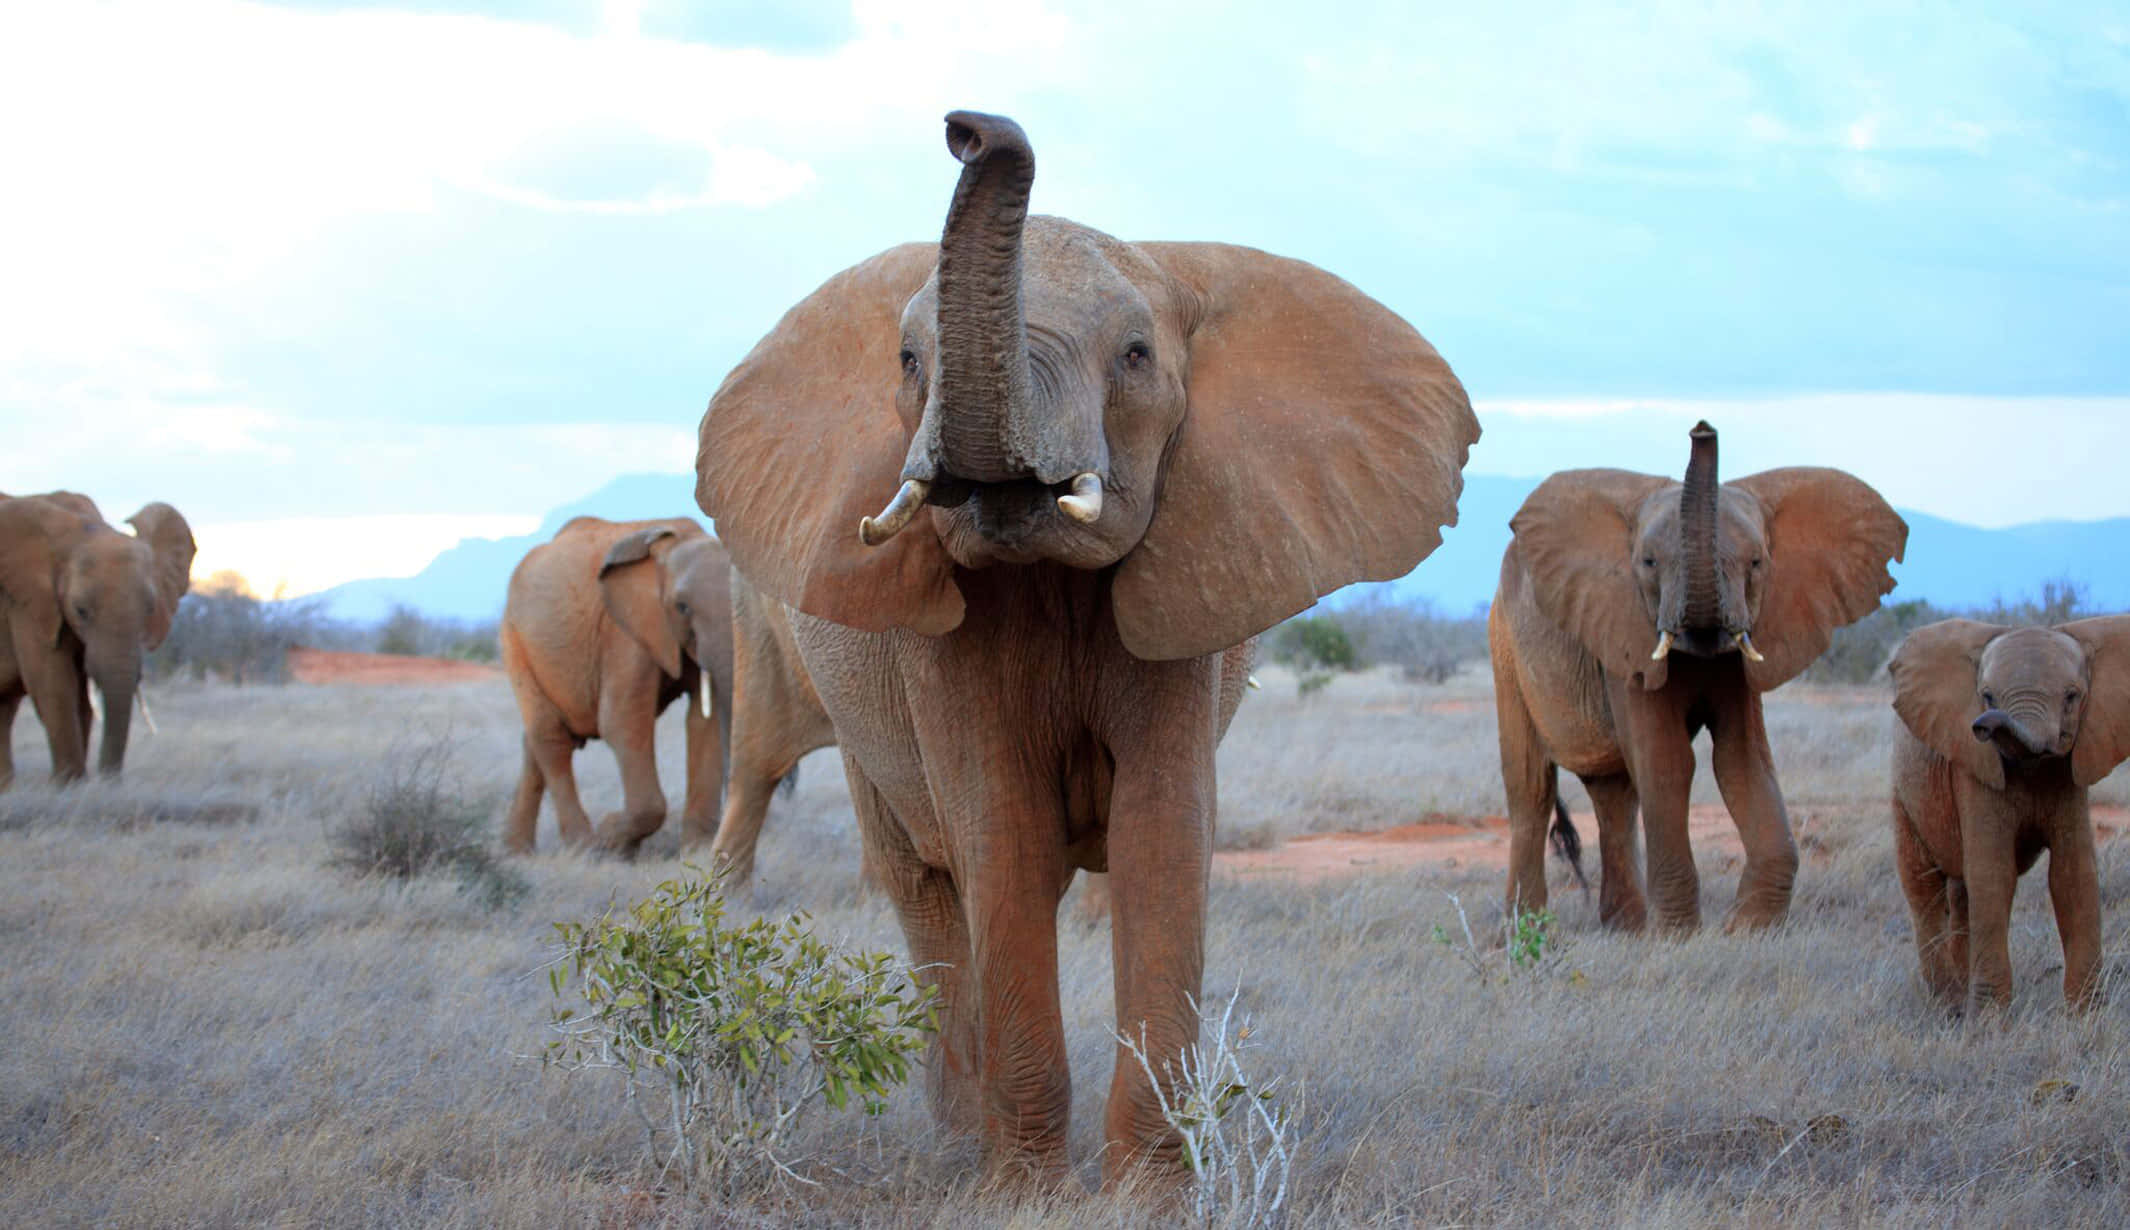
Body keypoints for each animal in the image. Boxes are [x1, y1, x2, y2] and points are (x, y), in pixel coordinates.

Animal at [0, 491, 196, 787]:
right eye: (81, 610)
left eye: (150, 609)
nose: (109, 779)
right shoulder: (28, 604)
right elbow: (54, 683)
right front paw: (68, 785)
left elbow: (82, 696)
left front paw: (77, 786)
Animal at [695, 111, 1477, 1182]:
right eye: (907, 361)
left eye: (1138, 355)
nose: (967, 129)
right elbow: (1002, 830)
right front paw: (1025, 1189)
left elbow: (1162, 834)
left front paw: (1144, 1191)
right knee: (925, 886)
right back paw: (959, 1140)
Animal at [1490, 422, 1908, 932]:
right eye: (1648, 563)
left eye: (1756, 563)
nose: (1702, 429)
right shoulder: (1626, 633)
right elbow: (1668, 761)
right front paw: (1678, 937)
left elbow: (1742, 761)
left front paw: (1748, 931)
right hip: (1504, 644)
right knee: (1531, 786)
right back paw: (1526, 934)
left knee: (1614, 794)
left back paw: (1626, 931)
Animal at [1887, 617, 2130, 1013]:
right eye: (1986, 696)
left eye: (2072, 696)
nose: (1982, 725)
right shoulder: (1974, 770)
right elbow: (1994, 874)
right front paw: (1989, 1022)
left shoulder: (2070, 772)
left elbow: (2073, 874)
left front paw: (2085, 1016)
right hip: (1904, 794)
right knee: (1924, 889)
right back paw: (1948, 1007)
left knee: (1961, 894)